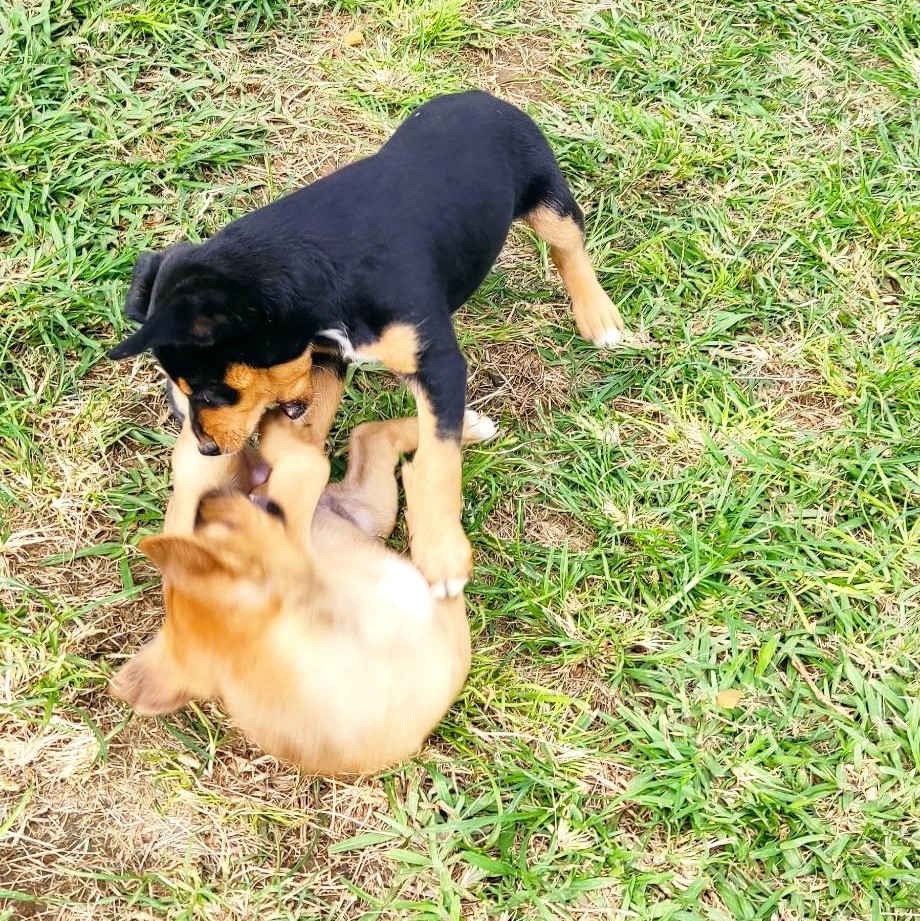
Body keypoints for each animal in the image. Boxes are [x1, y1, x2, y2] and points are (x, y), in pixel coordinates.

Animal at [106, 90, 624, 596]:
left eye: (211, 392)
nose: (208, 449)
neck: (315, 275)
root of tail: (480, 96)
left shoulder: (435, 363)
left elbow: (438, 460)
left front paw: (441, 553)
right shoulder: (322, 358)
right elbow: (310, 428)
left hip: (547, 196)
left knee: (568, 245)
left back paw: (598, 316)